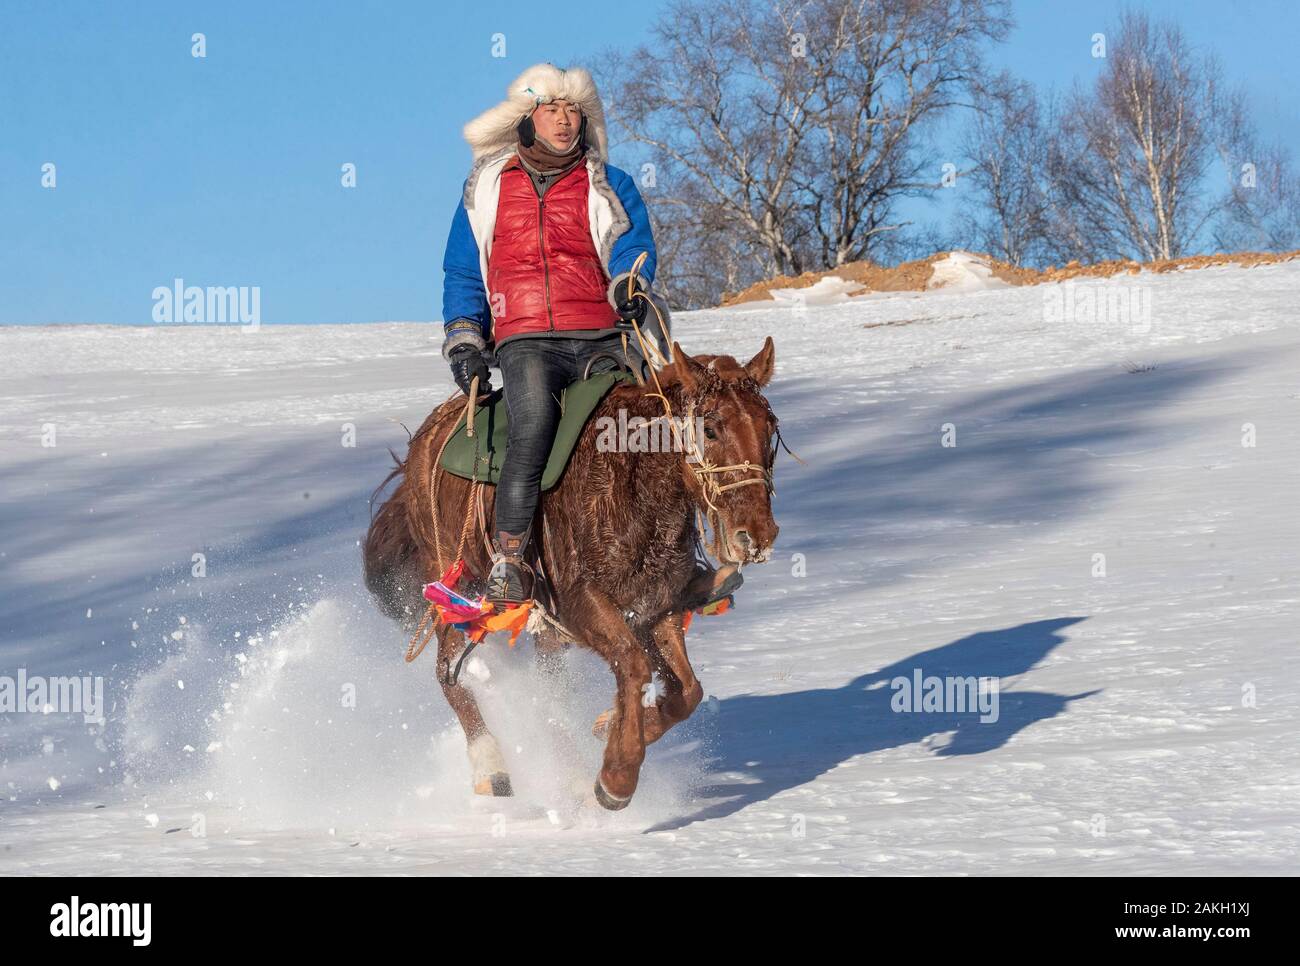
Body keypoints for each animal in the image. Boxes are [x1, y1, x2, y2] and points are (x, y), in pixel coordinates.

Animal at [361, 338, 774, 806]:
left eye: (770, 428)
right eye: (711, 429)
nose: (756, 536)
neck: (630, 479)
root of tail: (423, 443)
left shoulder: (655, 605)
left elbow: (687, 691)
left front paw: (608, 725)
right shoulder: (582, 604)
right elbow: (634, 665)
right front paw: (616, 776)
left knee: (548, 691)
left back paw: (569, 772)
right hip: (453, 584)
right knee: (449, 673)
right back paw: (491, 768)